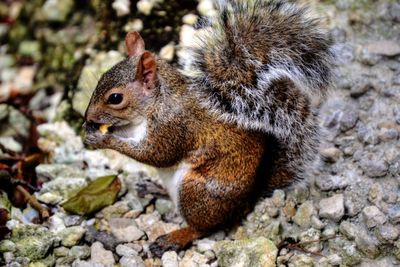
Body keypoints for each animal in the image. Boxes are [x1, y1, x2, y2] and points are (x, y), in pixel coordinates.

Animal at [83, 0, 334, 258]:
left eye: (115, 98)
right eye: (101, 77)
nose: (88, 116)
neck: (154, 104)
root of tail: (247, 202)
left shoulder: (173, 126)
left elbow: (157, 155)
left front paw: (103, 140)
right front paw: (92, 132)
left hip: (197, 192)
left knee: (201, 228)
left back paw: (175, 238)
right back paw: (155, 189)